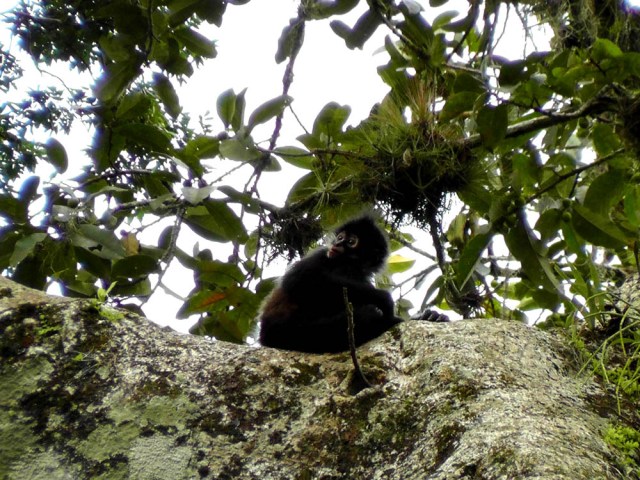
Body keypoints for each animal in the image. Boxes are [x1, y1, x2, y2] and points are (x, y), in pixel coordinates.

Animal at [259, 214, 447, 353]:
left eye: (351, 241)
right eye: (341, 237)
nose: (337, 243)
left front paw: (427, 316)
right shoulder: (322, 254)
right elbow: (299, 279)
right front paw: (386, 301)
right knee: (368, 313)